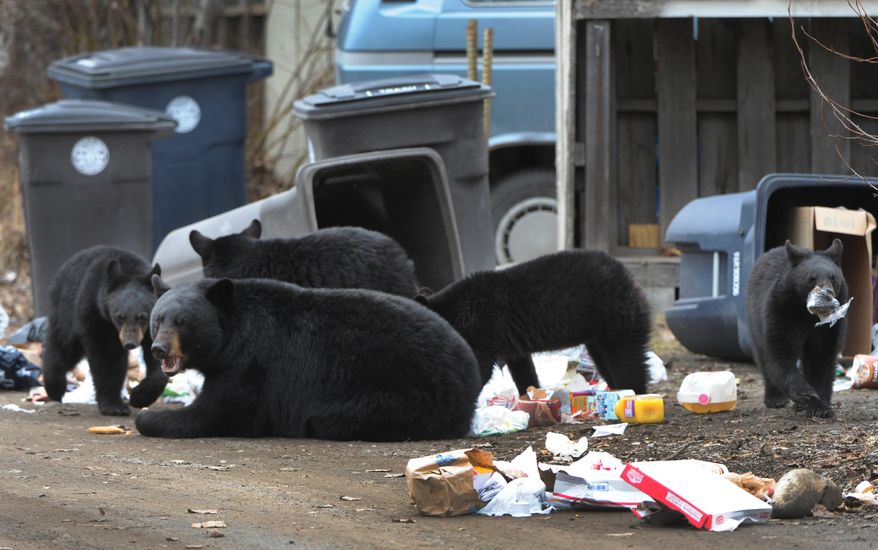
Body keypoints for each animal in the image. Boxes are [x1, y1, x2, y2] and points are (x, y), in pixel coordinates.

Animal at [41, 246, 167, 415]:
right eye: (119, 316)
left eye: (142, 316)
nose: (130, 343)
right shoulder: (95, 316)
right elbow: (104, 357)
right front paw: (114, 406)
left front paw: (138, 397)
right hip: (66, 311)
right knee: (64, 348)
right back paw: (54, 387)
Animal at [135, 275, 481, 440]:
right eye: (158, 320)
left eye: (183, 322)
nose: (159, 349)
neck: (232, 330)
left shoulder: (250, 363)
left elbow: (220, 411)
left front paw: (148, 416)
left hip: (399, 390)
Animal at [415, 249, 653, 395]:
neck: (457, 310)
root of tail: (632, 280)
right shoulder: (508, 340)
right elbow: (522, 366)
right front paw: (530, 396)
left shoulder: (481, 327)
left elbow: (480, 365)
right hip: (597, 332)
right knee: (605, 360)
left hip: (613, 314)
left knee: (626, 358)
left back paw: (633, 393)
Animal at [746, 239, 847, 418]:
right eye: (812, 278)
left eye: (833, 277)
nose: (827, 294)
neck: (807, 314)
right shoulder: (782, 310)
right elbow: (780, 352)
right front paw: (805, 392)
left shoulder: (829, 328)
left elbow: (821, 357)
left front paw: (820, 407)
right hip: (754, 317)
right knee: (763, 356)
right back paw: (775, 398)